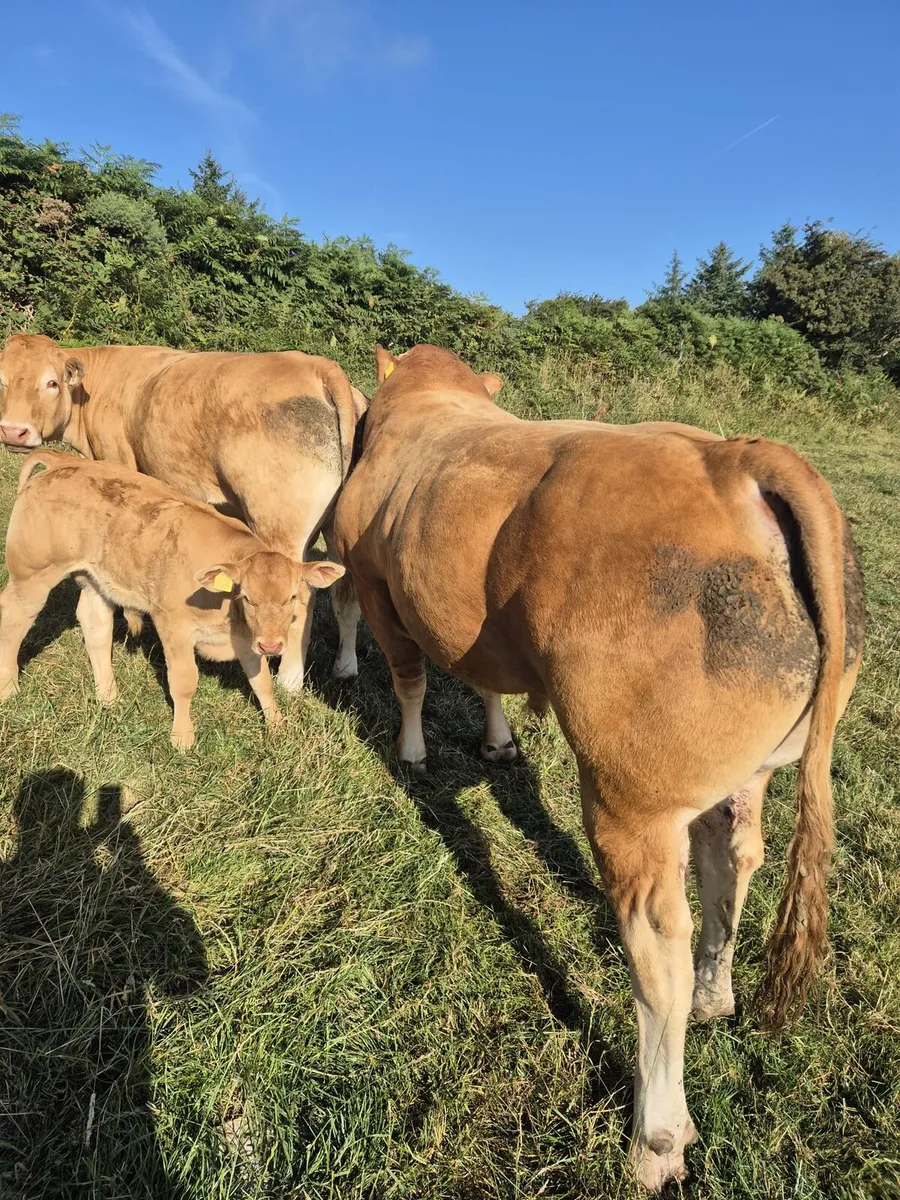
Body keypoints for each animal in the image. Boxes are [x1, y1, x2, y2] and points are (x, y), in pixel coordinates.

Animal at [0, 333, 364, 689]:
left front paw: (131, 619)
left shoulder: (118, 463)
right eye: (1, 381)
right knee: (346, 595)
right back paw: (345, 666)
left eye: (51, 383)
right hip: (339, 534)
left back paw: (289, 678)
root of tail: (316, 366)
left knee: (303, 595)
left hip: (280, 528)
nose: (13, 430)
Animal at [0, 451, 345, 749]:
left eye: (292, 597)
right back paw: (9, 688)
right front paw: (182, 738)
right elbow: (184, 681)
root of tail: (62, 461)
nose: (272, 645)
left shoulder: (247, 638)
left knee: (94, 624)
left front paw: (277, 725)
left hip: (95, 579)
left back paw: (109, 696)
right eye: (247, 597)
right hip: (32, 575)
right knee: (14, 619)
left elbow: (261, 681)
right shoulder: (173, 625)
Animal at [333, 344, 865, 1191]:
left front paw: (413, 753)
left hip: (629, 797)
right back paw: (716, 993)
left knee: (658, 947)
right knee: (733, 859)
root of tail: (733, 457)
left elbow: (411, 679)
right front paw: (497, 742)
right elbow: (483, 679)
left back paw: (657, 1137)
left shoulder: (382, 589)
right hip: (745, 769)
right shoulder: (476, 628)